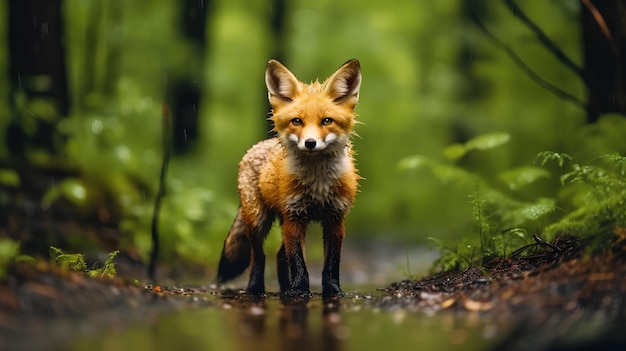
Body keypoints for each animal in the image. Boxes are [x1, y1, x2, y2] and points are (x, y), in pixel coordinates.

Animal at [216, 59, 358, 298]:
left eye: (327, 121)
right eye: (297, 121)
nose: (310, 143)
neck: (317, 184)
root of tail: (256, 146)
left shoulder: (335, 218)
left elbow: (331, 262)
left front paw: (332, 290)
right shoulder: (294, 216)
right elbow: (298, 261)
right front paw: (299, 289)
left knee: (280, 256)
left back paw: (284, 288)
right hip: (258, 219)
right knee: (259, 256)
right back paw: (255, 288)